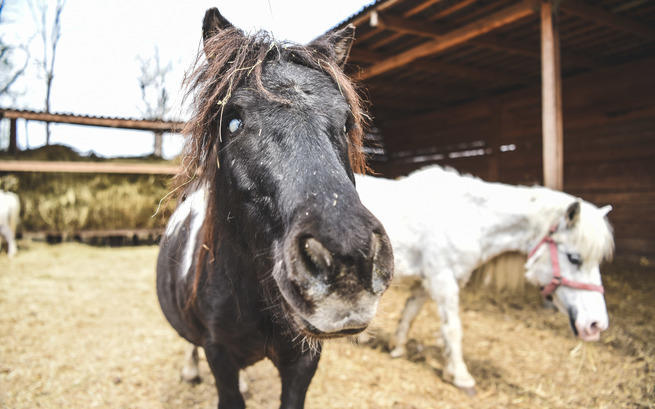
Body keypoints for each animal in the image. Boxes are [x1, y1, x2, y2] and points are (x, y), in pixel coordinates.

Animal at [356, 165, 612, 392]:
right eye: (574, 258)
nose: (596, 325)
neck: (470, 219)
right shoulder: (443, 279)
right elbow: (453, 328)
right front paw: (460, 376)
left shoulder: (428, 280)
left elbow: (410, 313)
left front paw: (397, 347)